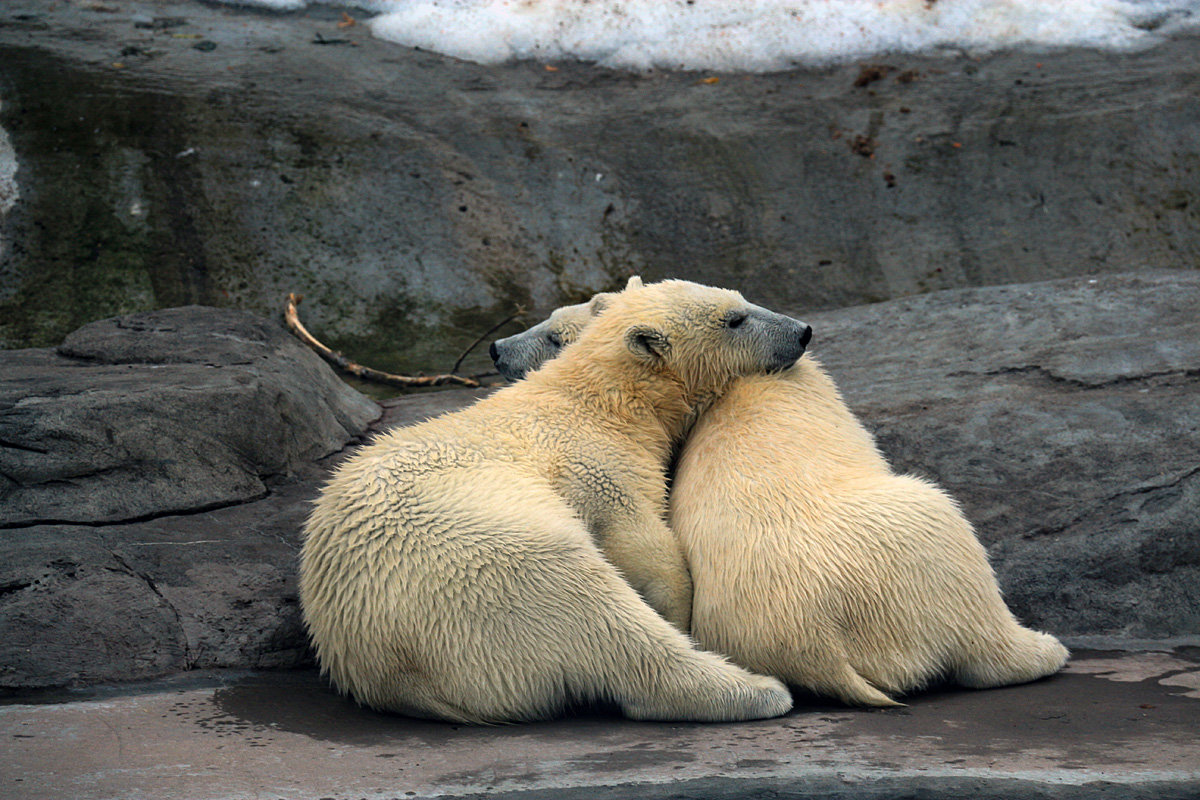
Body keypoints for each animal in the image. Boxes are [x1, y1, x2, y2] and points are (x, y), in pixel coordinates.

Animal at [496, 286, 1070, 705]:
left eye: (552, 330)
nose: (497, 350)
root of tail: (819, 642)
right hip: (906, 553)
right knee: (953, 549)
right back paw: (1043, 648)